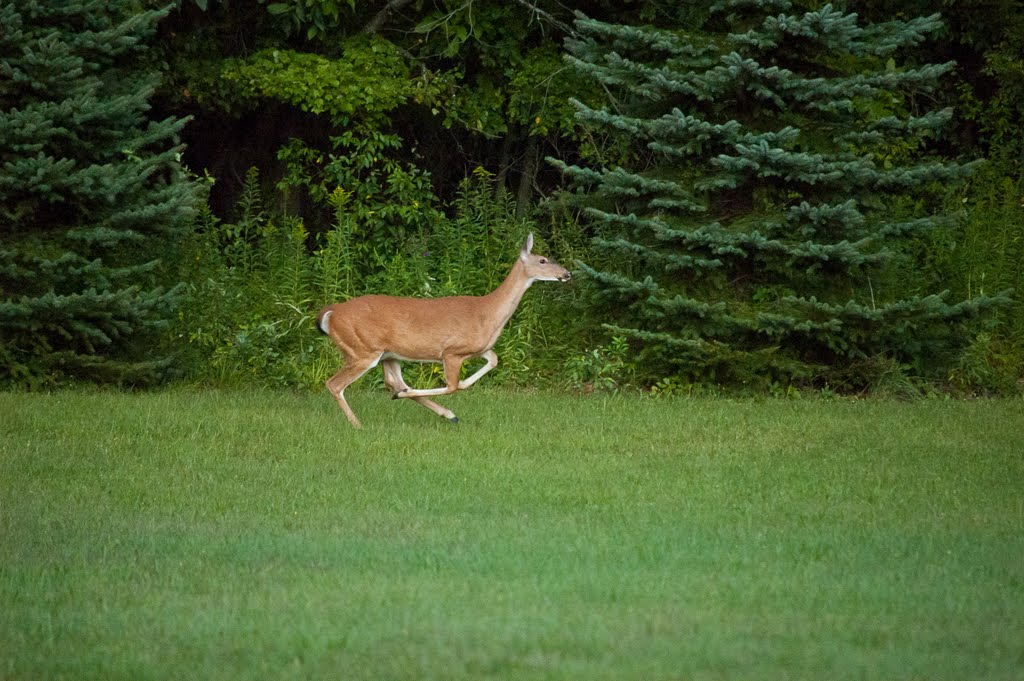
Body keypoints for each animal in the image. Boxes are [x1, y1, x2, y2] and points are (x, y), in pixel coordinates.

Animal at [315, 232, 573, 426]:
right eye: (543, 260)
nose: (567, 273)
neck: (487, 312)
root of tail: (331, 312)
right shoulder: (451, 352)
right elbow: (452, 387)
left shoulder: (479, 349)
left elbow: (493, 360)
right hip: (363, 349)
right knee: (334, 384)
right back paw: (358, 424)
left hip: (388, 354)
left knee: (392, 381)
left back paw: (438, 410)